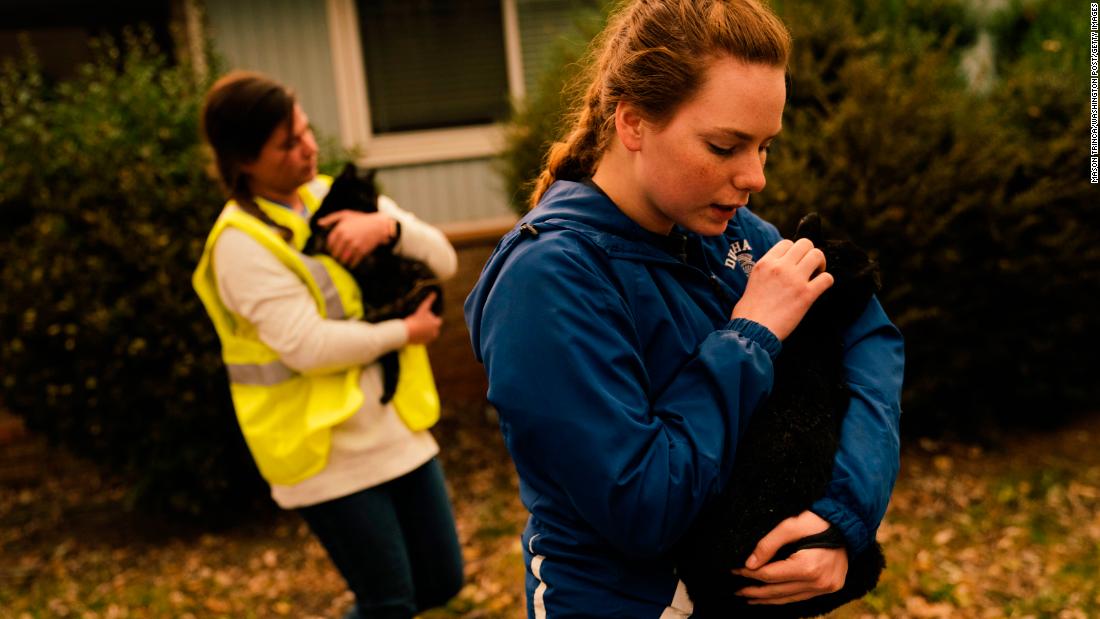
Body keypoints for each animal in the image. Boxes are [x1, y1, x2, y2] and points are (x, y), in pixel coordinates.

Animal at [305, 163, 442, 402]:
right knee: (390, 352)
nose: (375, 210)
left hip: (419, 277)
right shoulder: (320, 225)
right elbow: (314, 234)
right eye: (365, 195)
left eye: (376, 198)